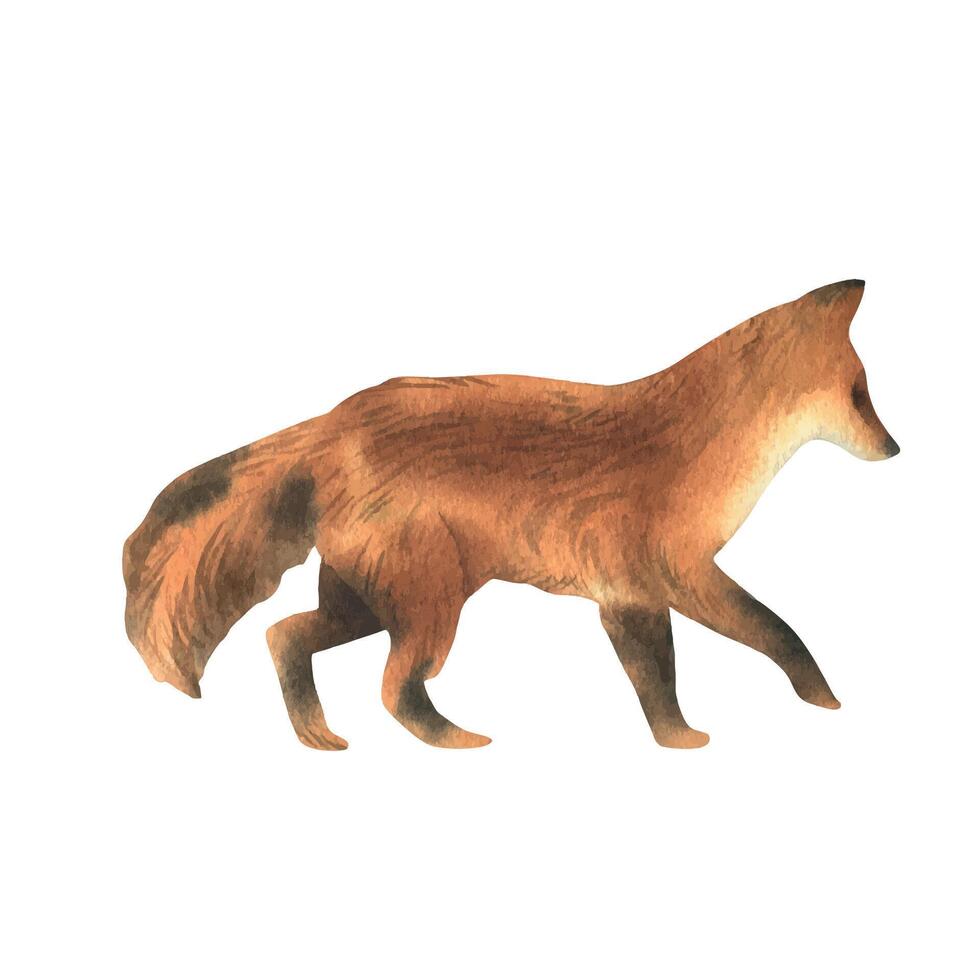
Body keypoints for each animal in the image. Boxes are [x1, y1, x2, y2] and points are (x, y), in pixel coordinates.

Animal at [123, 279, 899, 750]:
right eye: (861, 393)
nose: (895, 448)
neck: (698, 447)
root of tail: (335, 420)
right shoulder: (674, 577)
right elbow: (777, 632)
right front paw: (821, 700)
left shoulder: (629, 597)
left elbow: (659, 683)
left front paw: (678, 740)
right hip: (431, 607)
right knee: (394, 689)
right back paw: (457, 741)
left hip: (373, 601)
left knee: (285, 635)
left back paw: (317, 736)